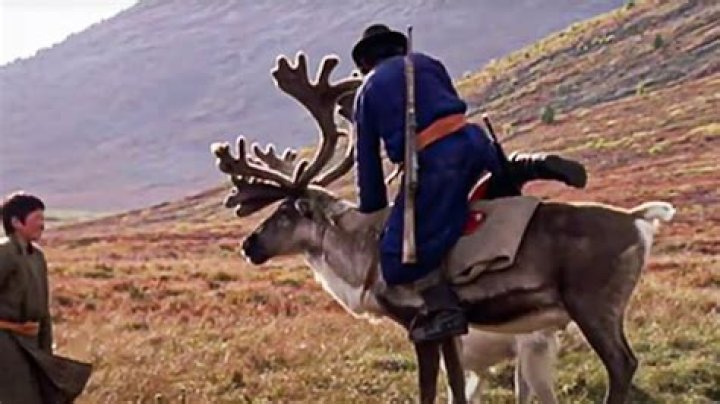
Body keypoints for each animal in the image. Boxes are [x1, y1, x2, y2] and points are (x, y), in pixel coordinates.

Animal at [211, 53, 675, 404]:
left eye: (286, 212)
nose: (249, 245)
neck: (361, 256)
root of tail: (639, 219)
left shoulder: (420, 324)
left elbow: (429, 389)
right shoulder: (454, 328)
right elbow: (456, 384)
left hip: (593, 304)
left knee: (622, 364)